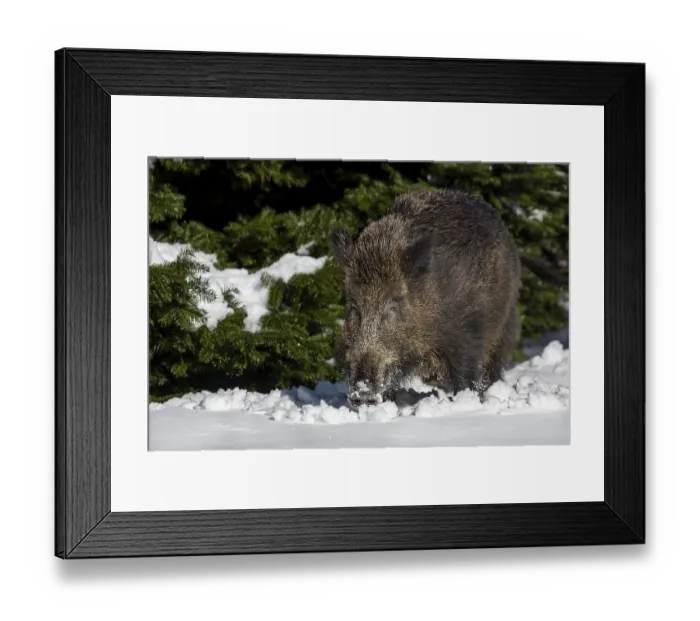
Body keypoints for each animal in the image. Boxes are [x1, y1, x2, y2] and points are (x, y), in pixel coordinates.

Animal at [329, 189, 521, 407]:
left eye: (393, 305)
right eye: (354, 306)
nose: (362, 392)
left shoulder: (466, 335)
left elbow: (465, 378)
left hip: (505, 325)